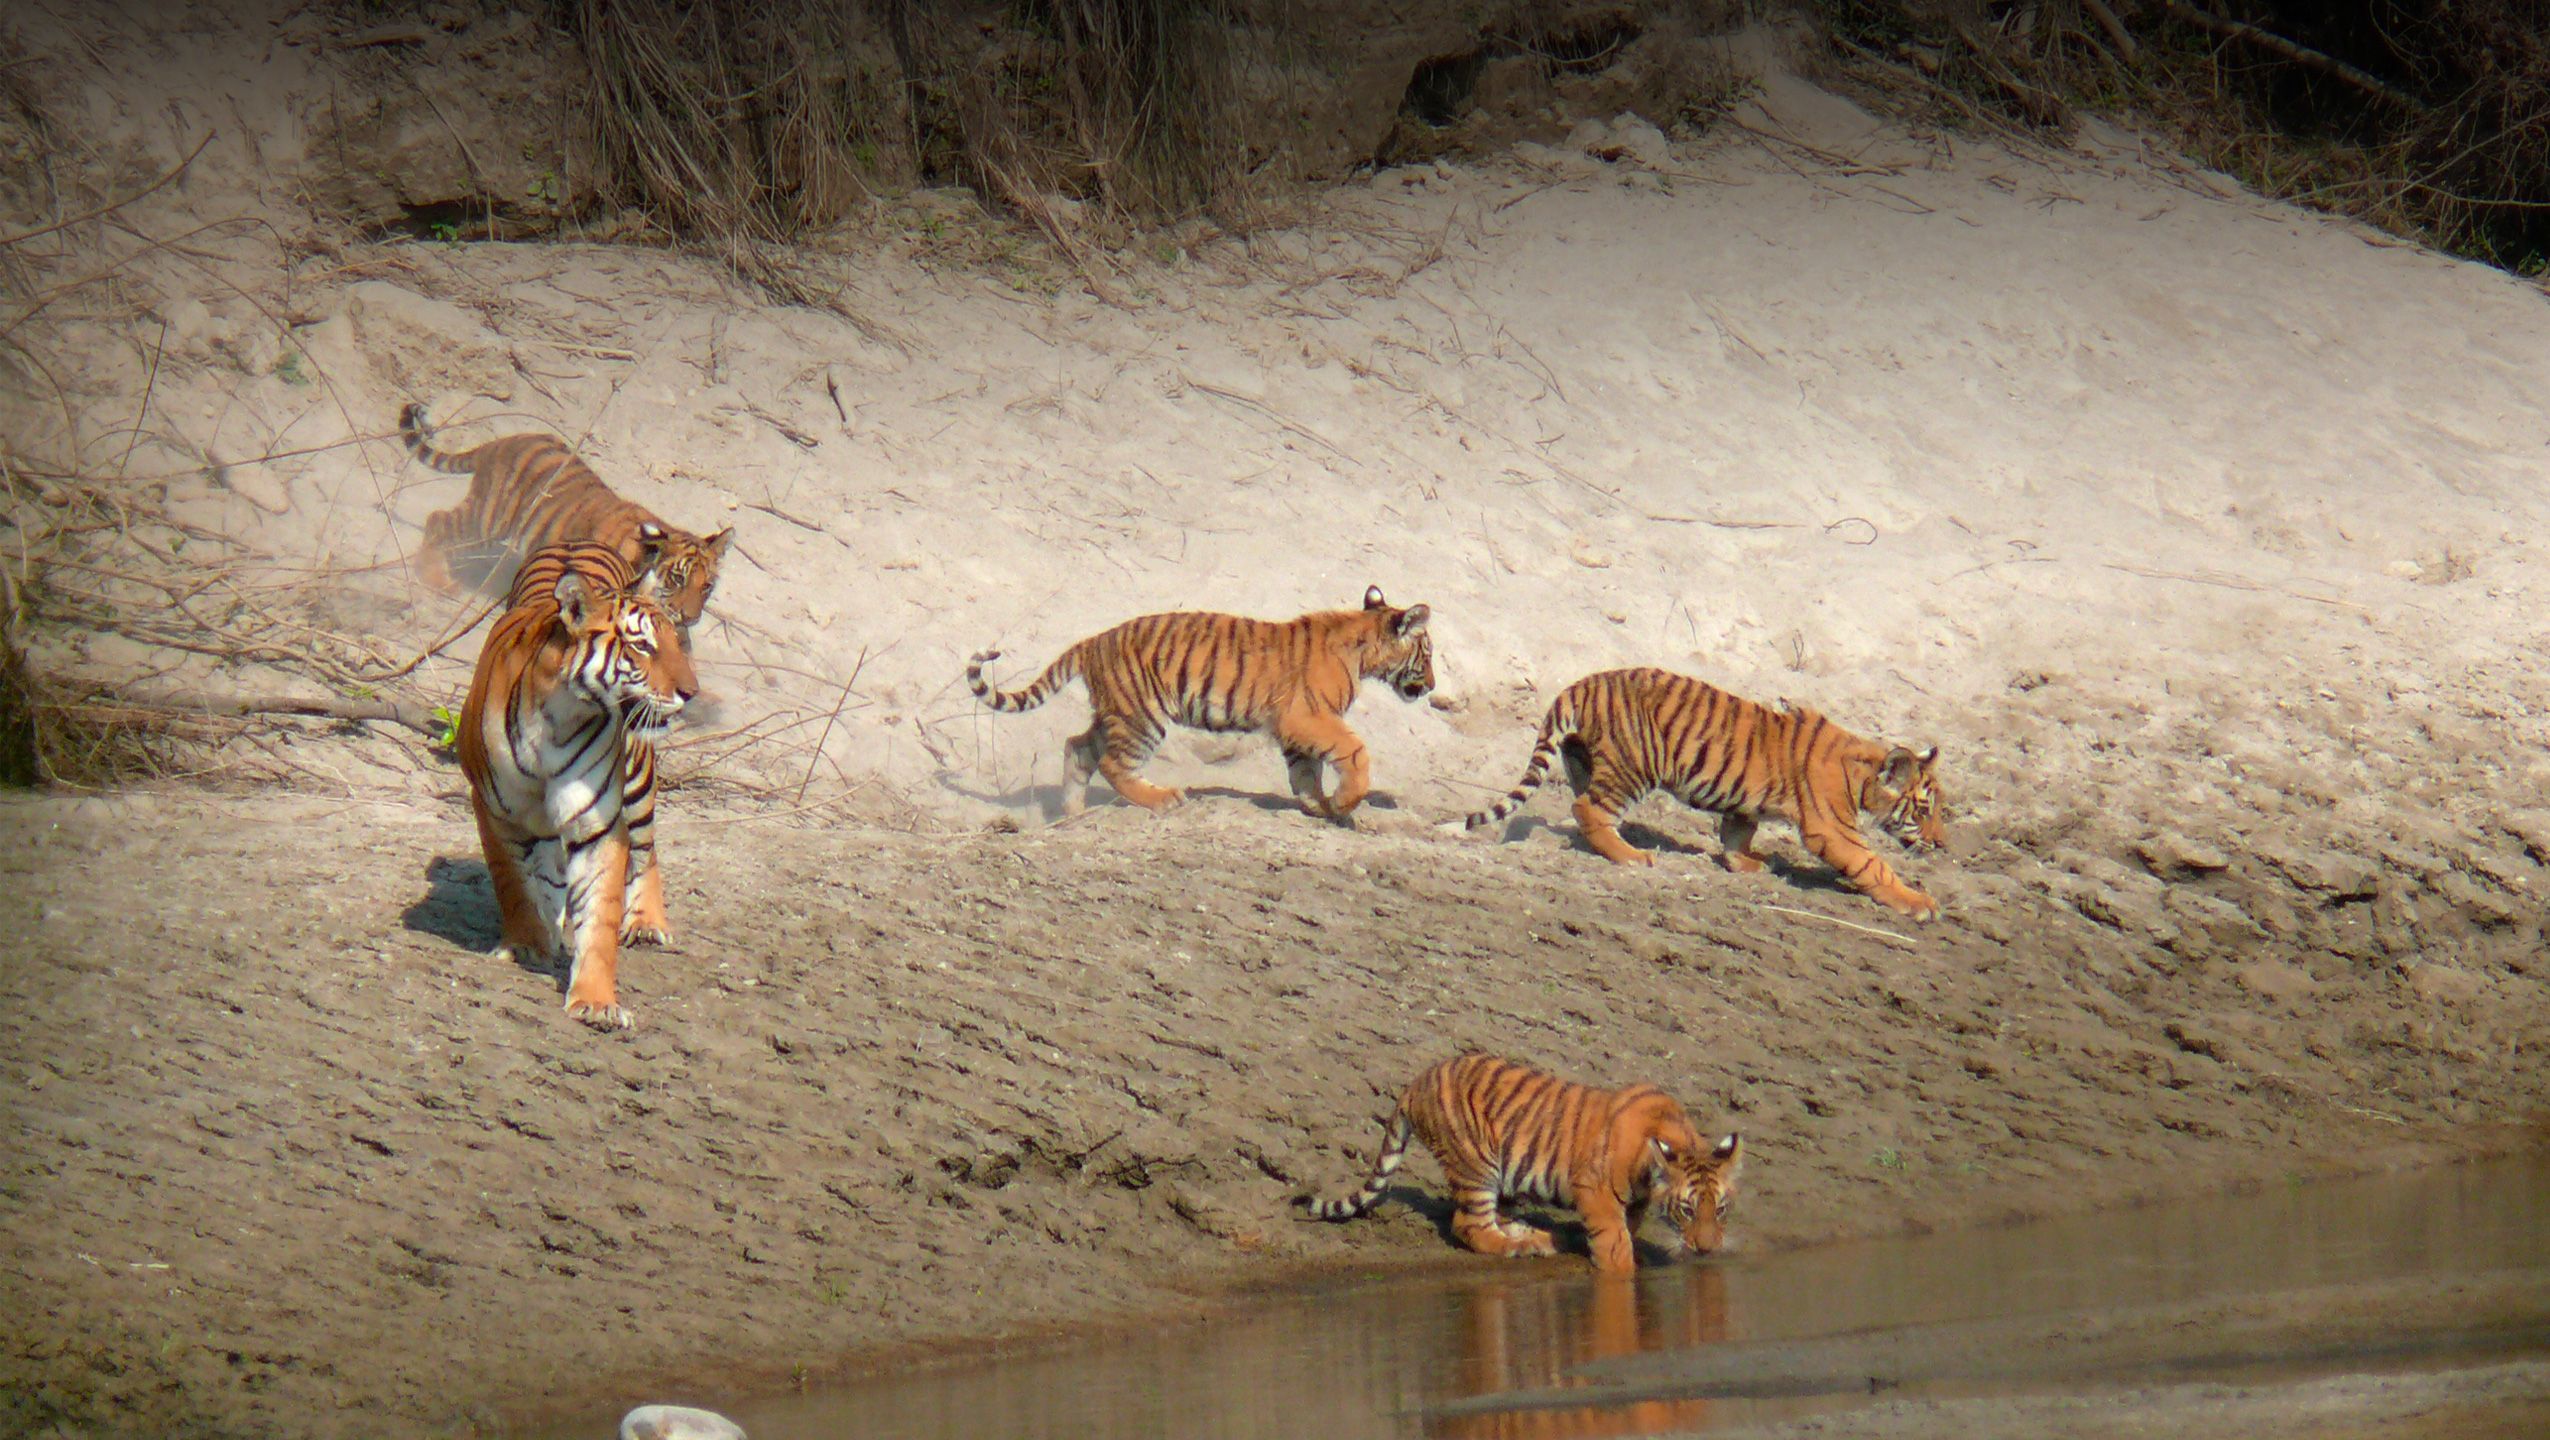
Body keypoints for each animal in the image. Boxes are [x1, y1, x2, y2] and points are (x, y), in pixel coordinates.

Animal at [401, 402, 732, 634]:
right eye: (677, 578)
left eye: (707, 587)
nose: (690, 618)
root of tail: (500, 442)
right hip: (488, 519)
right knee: (437, 520)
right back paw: (435, 578)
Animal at [457, 541, 697, 1029]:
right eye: (643, 646)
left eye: (675, 645)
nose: (691, 692)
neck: (560, 715)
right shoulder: (494, 809)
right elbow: (513, 882)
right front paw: (526, 944)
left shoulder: (599, 824)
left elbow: (600, 914)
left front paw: (596, 1001)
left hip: (638, 780)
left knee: (647, 850)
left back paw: (647, 923)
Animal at [964, 585, 1434, 819]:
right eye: (1427, 653)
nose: (1430, 686)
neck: (1363, 645)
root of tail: (1092, 641)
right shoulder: (1309, 716)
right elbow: (1355, 752)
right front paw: (1344, 802)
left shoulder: (1296, 726)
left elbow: (1306, 773)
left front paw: (1320, 806)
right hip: (1142, 717)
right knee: (1114, 764)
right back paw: (1163, 800)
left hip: (1116, 712)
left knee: (1078, 749)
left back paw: (1073, 814)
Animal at [1298, 1052, 1742, 1274]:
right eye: (1686, 1210)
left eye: (1720, 1209)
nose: (1707, 1250)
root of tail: (1415, 1083)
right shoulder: (1595, 1190)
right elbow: (1613, 1240)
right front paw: (1622, 1269)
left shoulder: (1632, 1201)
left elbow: (1625, 1229)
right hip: (1477, 1164)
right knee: (1470, 1225)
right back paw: (1520, 1246)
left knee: (1498, 1217)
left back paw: (1540, 1237)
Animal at [1463, 667, 1946, 920]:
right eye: (1923, 811)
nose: (1941, 844)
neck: (1862, 773)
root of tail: (1581, 684)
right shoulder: (1833, 829)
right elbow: (1874, 865)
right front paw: (1918, 902)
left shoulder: (1745, 801)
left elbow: (1737, 831)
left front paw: (1746, 863)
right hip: (1634, 766)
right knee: (1588, 809)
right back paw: (1632, 856)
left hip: (1585, 760)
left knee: (1585, 807)